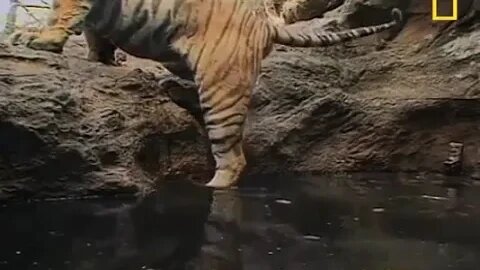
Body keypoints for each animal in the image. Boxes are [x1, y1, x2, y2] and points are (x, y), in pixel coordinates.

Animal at [9, 0, 404, 189]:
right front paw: (99, 58)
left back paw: (209, 187)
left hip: (221, 88)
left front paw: (40, 41)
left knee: (233, 157)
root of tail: (265, 23)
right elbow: (94, 31)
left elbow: (63, 14)